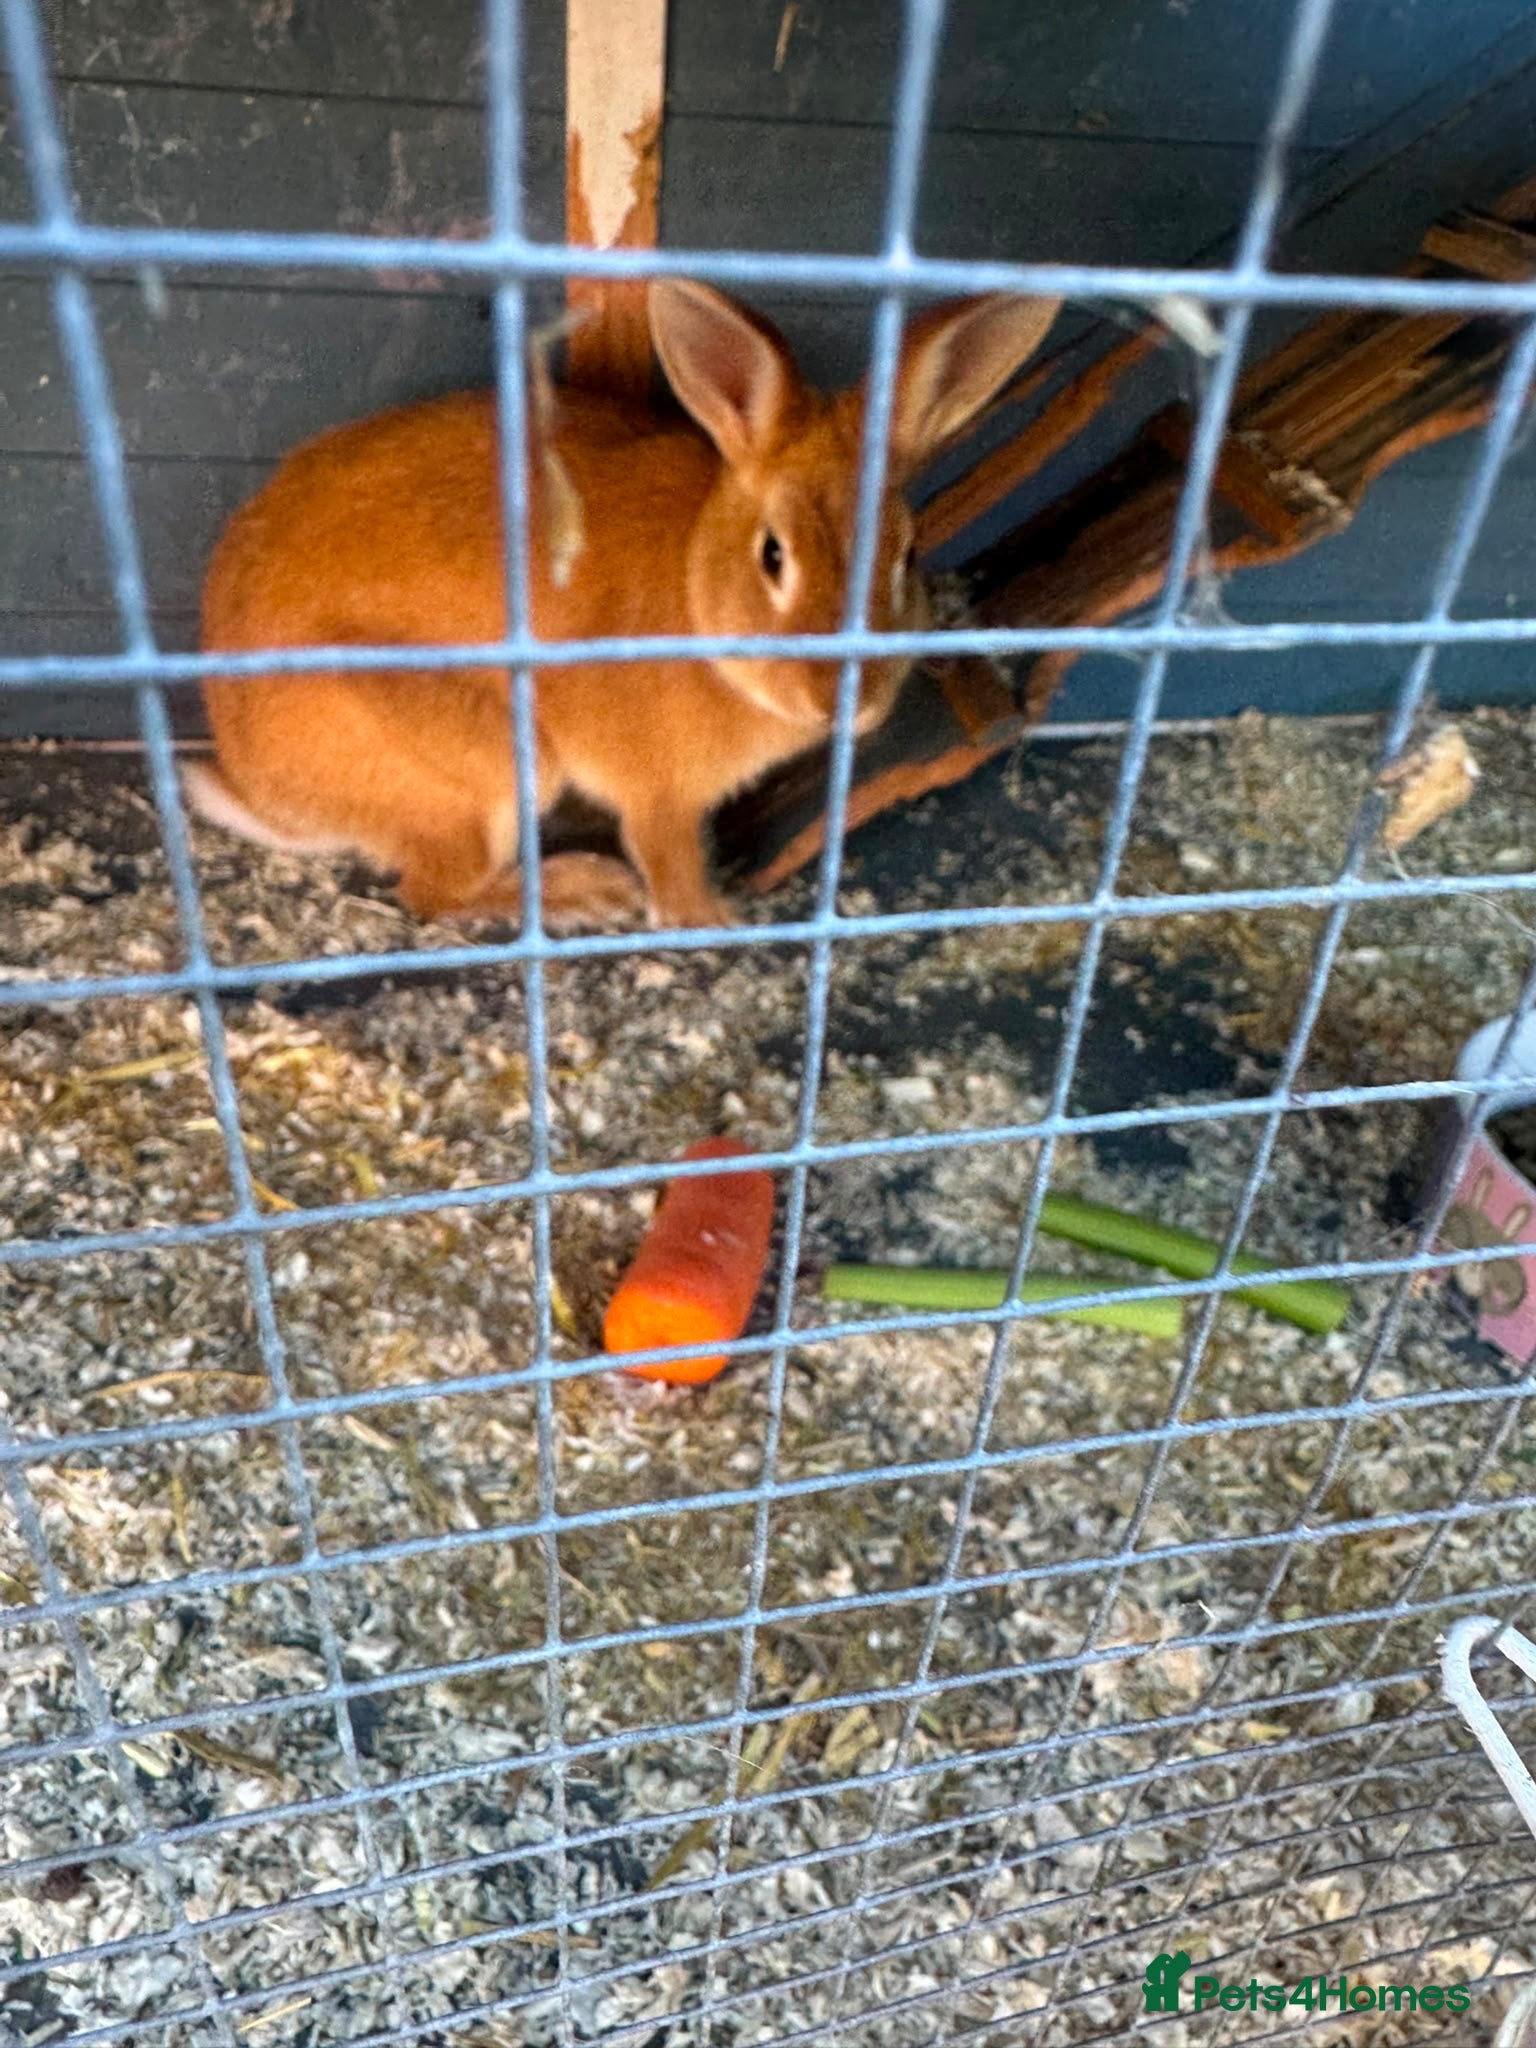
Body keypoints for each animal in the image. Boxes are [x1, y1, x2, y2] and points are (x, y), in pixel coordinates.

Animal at [186, 281, 1060, 930]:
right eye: (773, 556)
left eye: (906, 555)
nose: (846, 701)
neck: (697, 587)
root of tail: (260, 782)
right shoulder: (656, 788)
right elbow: (666, 855)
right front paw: (708, 921)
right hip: (485, 766)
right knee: (433, 893)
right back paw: (585, 891)